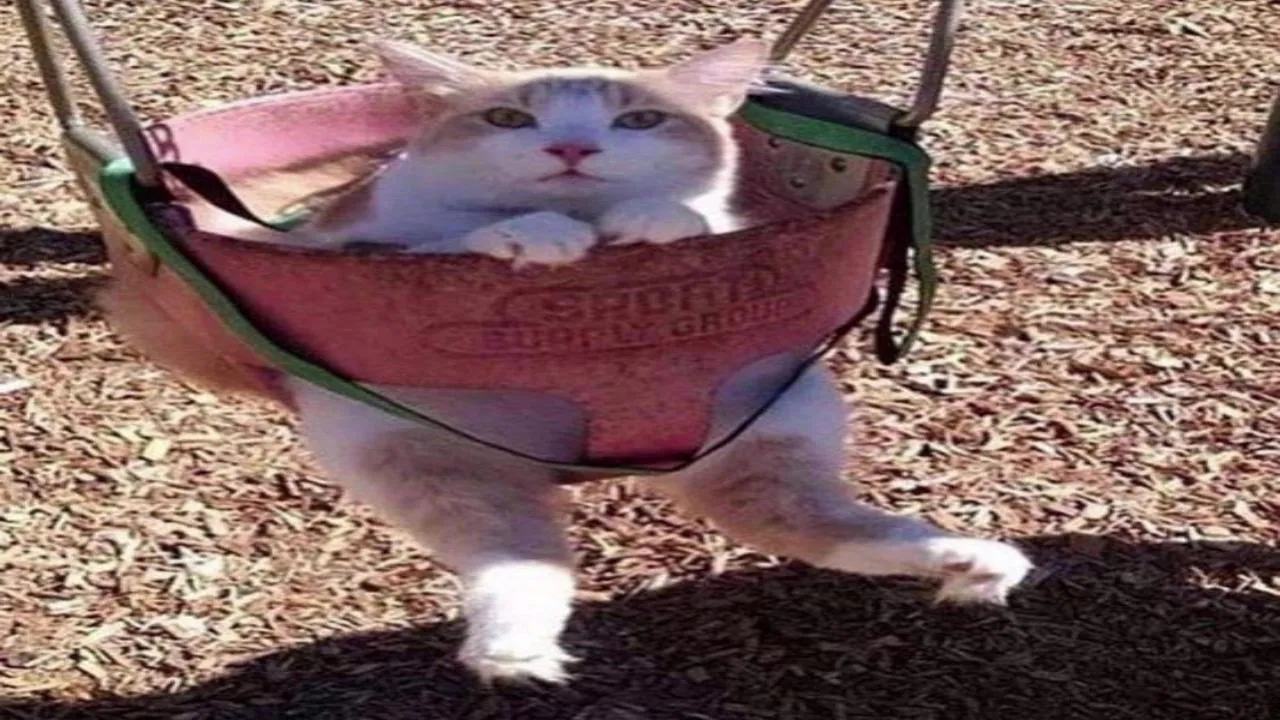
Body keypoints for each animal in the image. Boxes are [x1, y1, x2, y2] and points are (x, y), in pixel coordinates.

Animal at [99, 38, 1033, 685]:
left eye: (638, 119)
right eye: (511, 118)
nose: (573, 149)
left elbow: (696, 217)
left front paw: (655, 218)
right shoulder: (337, 245)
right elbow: (443, 238)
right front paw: (529, 232)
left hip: (767, 429)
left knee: (806, 523)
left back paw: (964, 560)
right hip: (413, 451)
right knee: (515, 553)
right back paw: (514, 646)